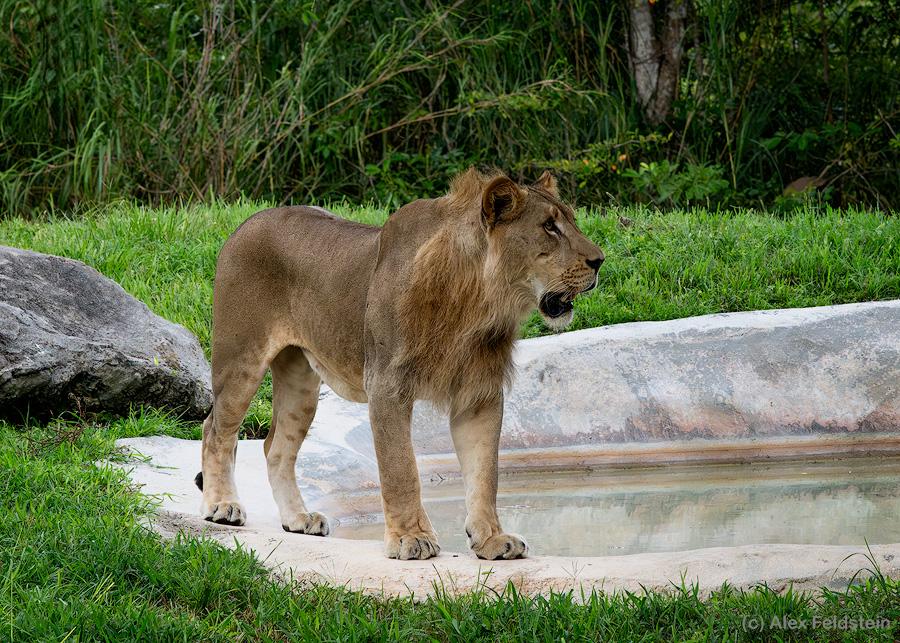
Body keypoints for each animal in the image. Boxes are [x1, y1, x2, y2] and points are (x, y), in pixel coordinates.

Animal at [196, 169, 604, 560]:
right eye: (549, 226)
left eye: (570, 220)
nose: (599, 260)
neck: (478, 303)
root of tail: (247, 222)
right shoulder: (387, 386)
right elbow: (401, 470)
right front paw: (412, 539)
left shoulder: (479, 394)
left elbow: (485, 474)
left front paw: (491, 539)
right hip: (241, 360)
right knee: (215, 429)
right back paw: (223, 506)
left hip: (301, 382)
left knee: (276, 447)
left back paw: (298, 518)